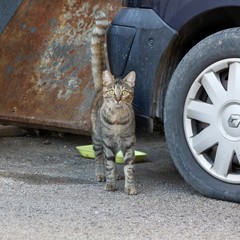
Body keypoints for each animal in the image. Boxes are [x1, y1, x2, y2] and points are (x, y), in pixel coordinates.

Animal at [91, 11, 138, 195]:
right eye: (112, 92)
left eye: (124, 92)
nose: (117, 98)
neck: (117, 120)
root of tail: (99, 89)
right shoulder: (108, 141)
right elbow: (109, 164)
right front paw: (110, 183)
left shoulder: (129, 142)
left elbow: (129, 167)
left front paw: (130, 186)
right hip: (97, 138)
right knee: (99, 157)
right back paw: (100, 174)